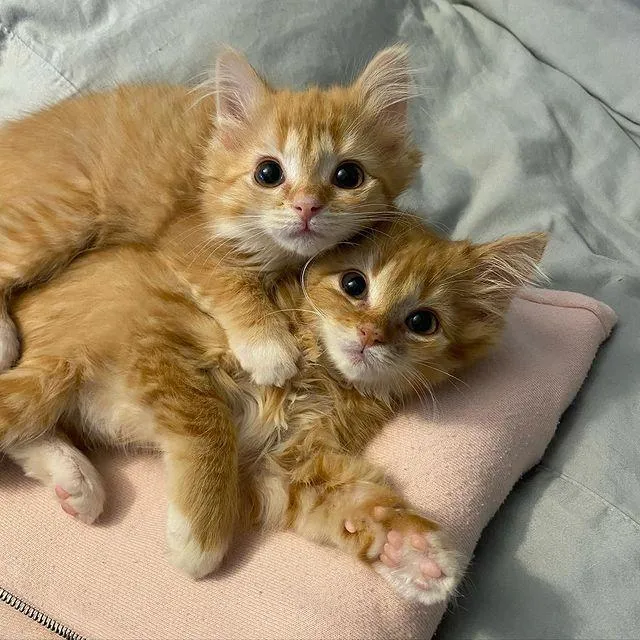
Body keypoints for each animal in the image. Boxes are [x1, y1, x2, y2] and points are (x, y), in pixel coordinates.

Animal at [0, 46, 420, 384]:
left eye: (348, 176)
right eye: (268, 173)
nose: (306, 205)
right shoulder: (185, 234)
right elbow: (229, 282)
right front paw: (269, 350)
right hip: (63, 213)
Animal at [2, 215, 548, 604]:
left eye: (422, 322)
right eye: (355, 285)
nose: (369, 335)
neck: (320, 371)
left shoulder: (286, 464)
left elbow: (347, 500)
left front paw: (409, 549)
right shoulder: (153, 344)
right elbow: (211, 425)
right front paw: (200, 537)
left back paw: (76, 480)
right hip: (60, 364)